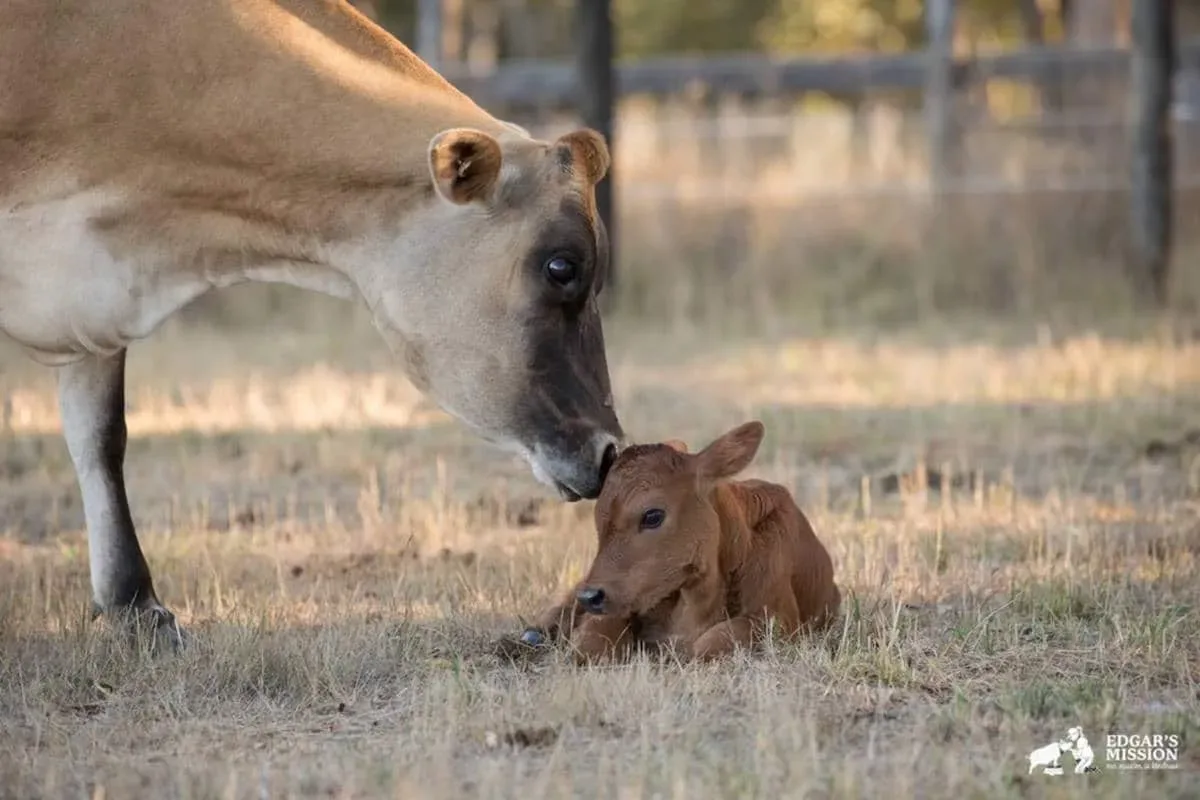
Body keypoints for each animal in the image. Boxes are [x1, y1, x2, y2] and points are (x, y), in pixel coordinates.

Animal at [520, 421, 841, 663]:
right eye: (598, 517)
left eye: (652, 515)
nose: (591, 596)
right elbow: (592, 642)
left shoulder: (779, 620)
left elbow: (715, 640)